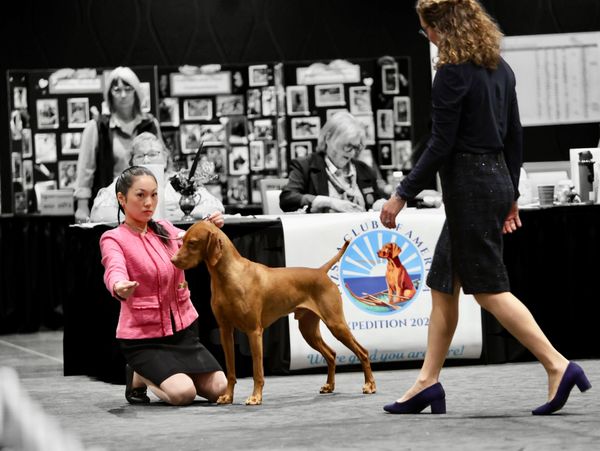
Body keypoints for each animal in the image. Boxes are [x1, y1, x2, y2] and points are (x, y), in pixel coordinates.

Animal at [171, 221, 376, 405]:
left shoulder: (254, 332)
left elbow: (257, 371)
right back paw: (329, 386)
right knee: (332, 354)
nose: (173, 260)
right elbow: (230, 371)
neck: (229, 276)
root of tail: (320, 271)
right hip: (308, 330)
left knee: (363, 352)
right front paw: (227, 397)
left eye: (192, 243)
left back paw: (370, 385)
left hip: (335, 324)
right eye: (182, 241)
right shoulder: (225, 331)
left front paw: (255, 397)